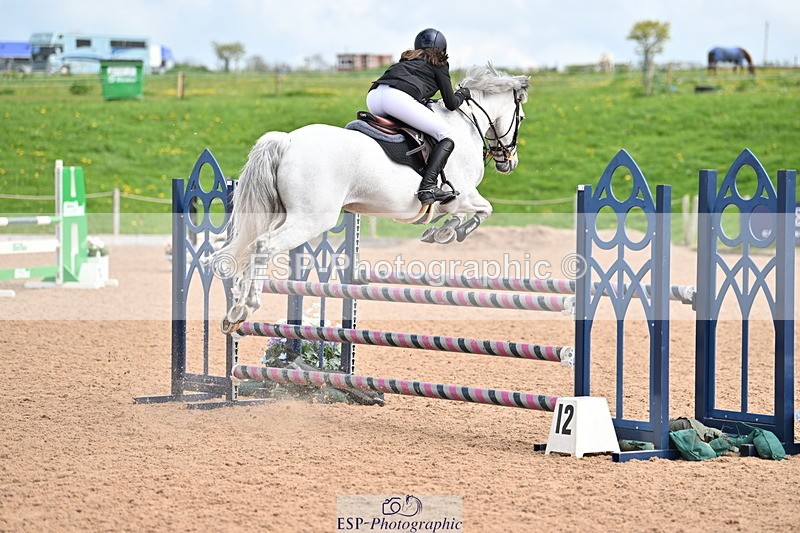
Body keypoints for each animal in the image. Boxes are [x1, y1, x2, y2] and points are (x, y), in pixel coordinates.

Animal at [210, 64, 530, 332]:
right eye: (521, 117)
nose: (509, 161)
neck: (465, 125)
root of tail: (287, 141)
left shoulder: (454, 201)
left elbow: (466, 213)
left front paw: (440, 232)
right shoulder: (460, 195)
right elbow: (482, 210)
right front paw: (450, 232)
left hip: (280, 214)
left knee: (249, 247)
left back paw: (234, 309)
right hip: (311, 219)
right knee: (263, 246)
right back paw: (244, 308)